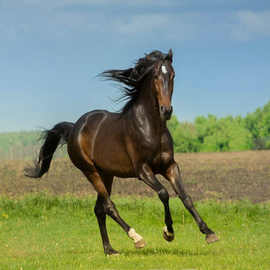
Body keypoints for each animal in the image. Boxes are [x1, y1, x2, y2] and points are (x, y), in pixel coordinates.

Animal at [24, 50, 219, 255]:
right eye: (156, 76)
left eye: (173, 75)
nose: (166, 110)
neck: (150, 128)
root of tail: (74, 128)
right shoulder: (143, 170)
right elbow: (164, 193)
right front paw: (168, 232)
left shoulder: (170, 166)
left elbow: (185, 196)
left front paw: (209, 233)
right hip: (90, 171)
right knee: (109, 205)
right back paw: (136, 238)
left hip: (106, 174)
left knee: (99, 209)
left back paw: (110, 250)